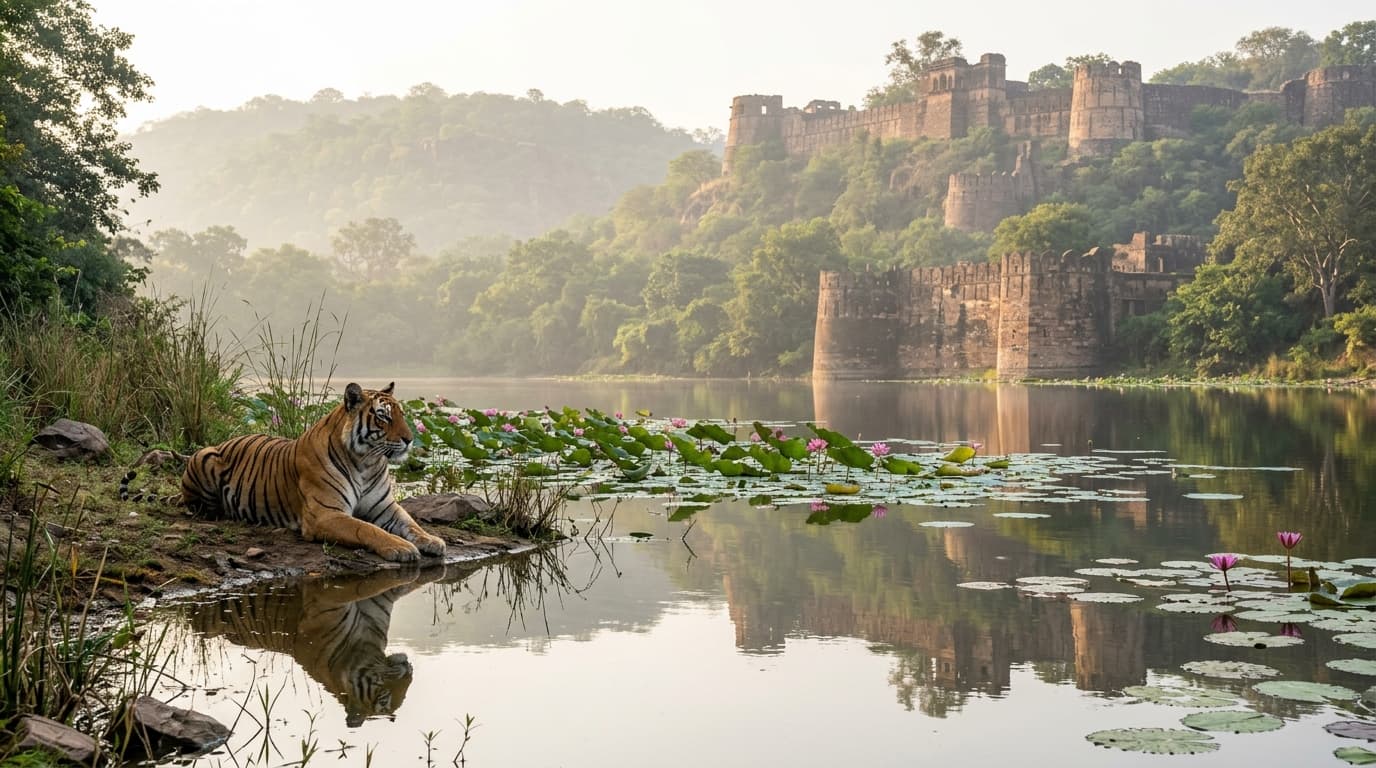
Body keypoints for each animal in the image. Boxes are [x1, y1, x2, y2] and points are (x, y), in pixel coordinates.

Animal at [123, 382, 446, 562]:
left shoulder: (385, 507)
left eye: (402, 415)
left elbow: (411, 523)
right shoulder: (325, 514)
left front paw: (432, 541)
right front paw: (401, 548)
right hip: (204, 455)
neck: (366, 462)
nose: (410, 439)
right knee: (195, 504)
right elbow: (366, 528)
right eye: (383, 417)